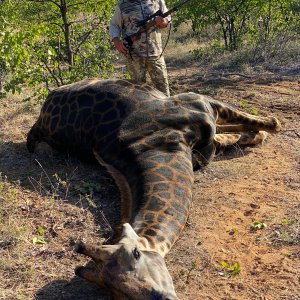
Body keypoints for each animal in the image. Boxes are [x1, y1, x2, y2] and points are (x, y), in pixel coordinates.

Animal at [26, 79, 282, 300]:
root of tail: (38, 123)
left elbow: (269, 122)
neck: (158, 145)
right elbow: (240, 132)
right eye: (115, 293)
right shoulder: (203, 137)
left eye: (136, 254)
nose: (165, 298)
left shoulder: (201, 104)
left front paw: (262, 130)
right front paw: (256, 135)